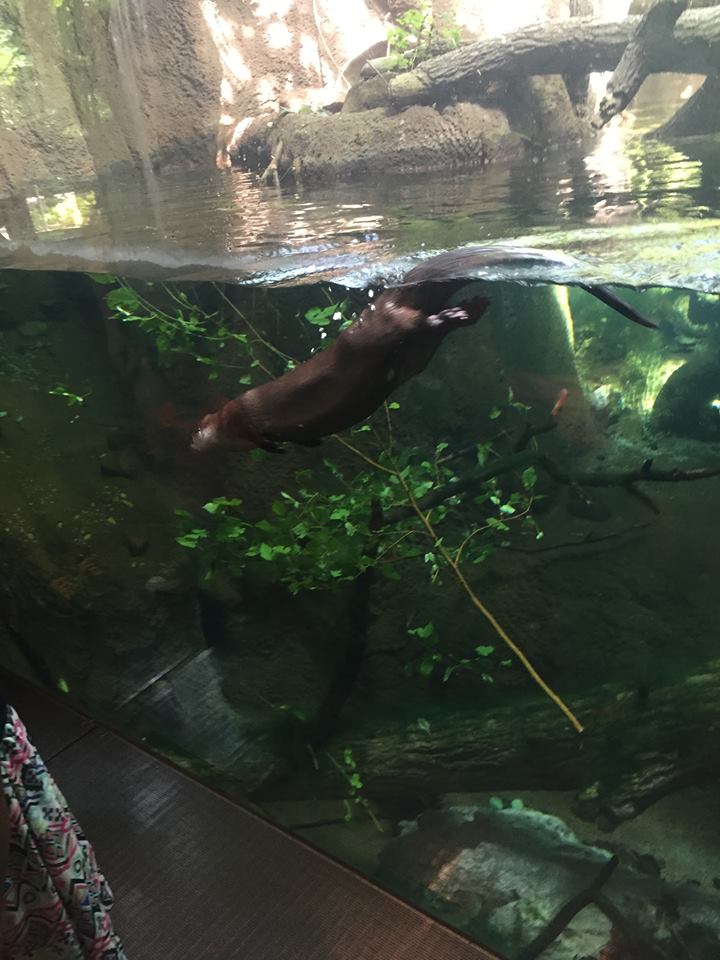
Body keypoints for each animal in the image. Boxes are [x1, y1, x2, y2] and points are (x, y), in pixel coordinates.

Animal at [192, 246, 657, 454]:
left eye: (197, 428)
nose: (190, 442)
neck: (229, 417)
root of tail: (392, 295)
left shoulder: (246, 417)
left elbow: (262, 436)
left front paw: (276, 446)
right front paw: (311, 443)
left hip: (384, 332)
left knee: (422, 323)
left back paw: (462, 309)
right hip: (415, 355)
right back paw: (473, 308)